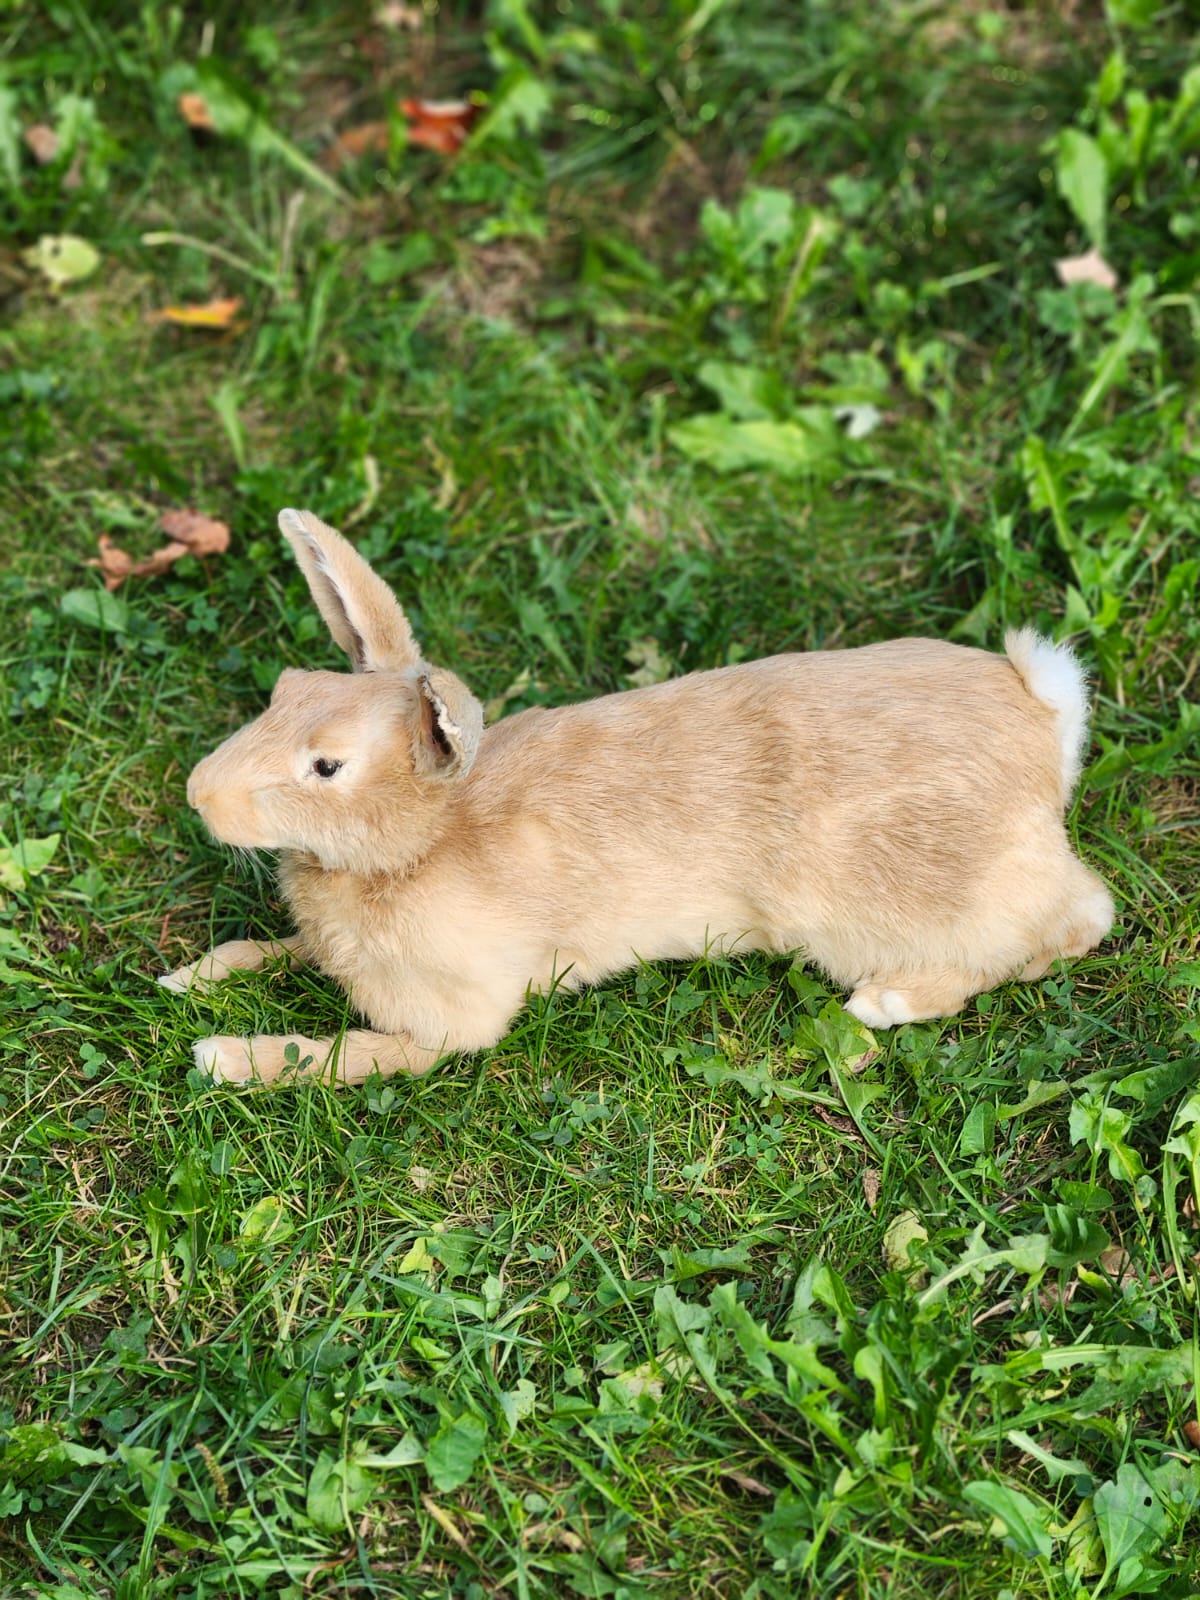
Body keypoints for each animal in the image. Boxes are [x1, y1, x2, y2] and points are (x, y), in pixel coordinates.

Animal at [159, 507, 1114, 1086]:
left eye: (326, 766)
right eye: (283, 689)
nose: (199, 796)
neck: (423, 838)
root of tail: (1043, 719)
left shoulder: (449, 1024)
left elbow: (333, 1056)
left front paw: (218, 1056)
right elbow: (270, 950)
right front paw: (190, 977)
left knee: (1074, 922)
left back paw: (888, 1002)